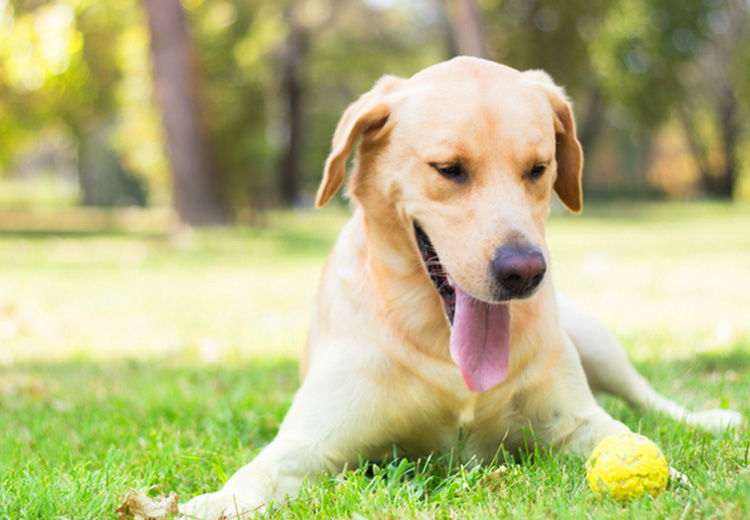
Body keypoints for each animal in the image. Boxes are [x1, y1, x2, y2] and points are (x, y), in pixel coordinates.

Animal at [181, 54, 740, 516]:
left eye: (538, 168)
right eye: (449, 169)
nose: (524, 271)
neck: (441, 346)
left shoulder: (578, 420)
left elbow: (626, 435)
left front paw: (677, 479)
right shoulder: (311, 441)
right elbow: (255, 475)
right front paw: (209, 501)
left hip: (593, 337)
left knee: (646, 398)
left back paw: (707, 419)